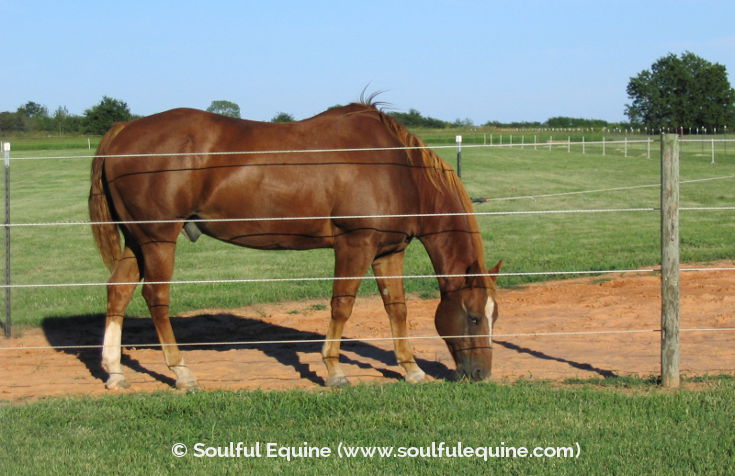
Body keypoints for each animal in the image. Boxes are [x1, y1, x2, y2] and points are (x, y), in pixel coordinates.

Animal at [86, 102, 500, 388]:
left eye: (495, 316)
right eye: (474, 316)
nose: (481, 372)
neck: (397, 170)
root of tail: (123, 130)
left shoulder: (388, 251)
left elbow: (396, 309)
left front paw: (411, 369)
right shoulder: (355, 245)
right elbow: (342, 306)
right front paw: (334, 370)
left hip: (137, 240)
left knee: (118, 291)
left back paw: (114, 372)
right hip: (158, 239)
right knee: (156, 298)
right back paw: (182, 373)